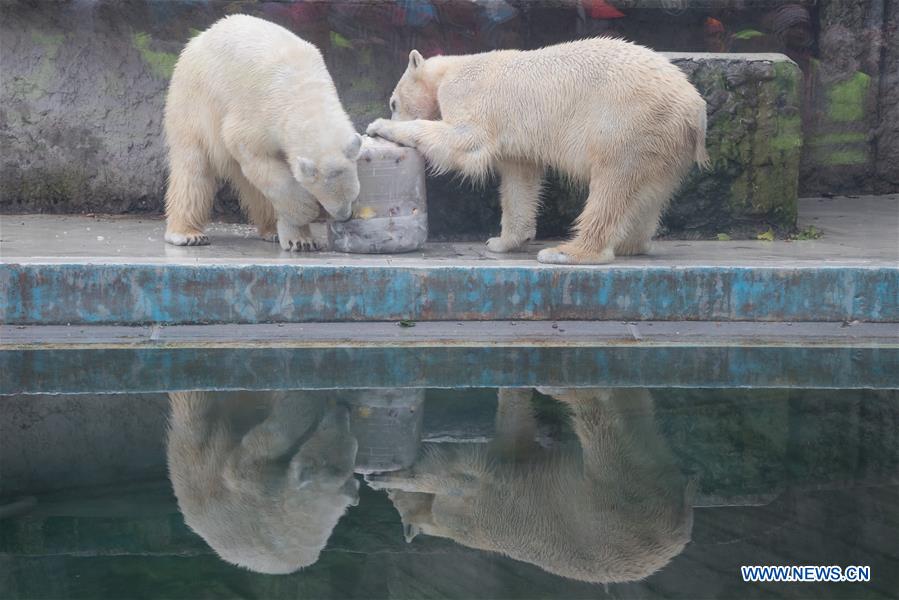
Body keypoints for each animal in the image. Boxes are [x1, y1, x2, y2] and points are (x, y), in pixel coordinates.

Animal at [163, 15, 360, 251]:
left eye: (353, 196)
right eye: (324, 198)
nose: (345, 216)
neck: (304, 92)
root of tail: (198, 38)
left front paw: (301, 239)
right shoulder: (261, 111)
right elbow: (249, 148)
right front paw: (305, 212)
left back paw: (272, 230)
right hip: (195, 101)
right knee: (193, 166)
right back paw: (187, 234)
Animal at [165, 392, 358, 576]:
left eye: (326, 428)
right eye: (352, 441)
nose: (343, 408)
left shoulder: (263, 493)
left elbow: (241, 463)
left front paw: (303, 401)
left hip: (194, 469)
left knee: (194, 414)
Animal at [366, 37, 712, 262]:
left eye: (393, 103)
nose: (390, 112)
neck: (450, 69)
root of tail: (694, 108)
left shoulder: (467, 92)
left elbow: (467, 139)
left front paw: (379, 127)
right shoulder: (516, 140)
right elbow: (520, 179)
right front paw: (501, 241)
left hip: (628, 123)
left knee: (612, 184)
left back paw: (567, 251)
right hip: (664, 144)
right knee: (649, 193)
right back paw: (630, 244)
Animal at [366, 386, 696, 584]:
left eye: (392, 498)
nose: (384, 486)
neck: (441, 524)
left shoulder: (464, 508)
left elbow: (460, 472)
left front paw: (392, 477)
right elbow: (512, 438)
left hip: (611, 503)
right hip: (625, 487)